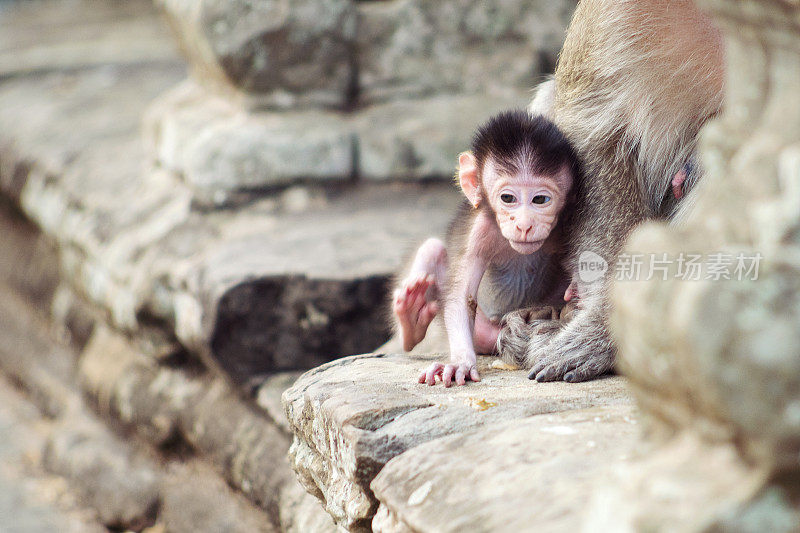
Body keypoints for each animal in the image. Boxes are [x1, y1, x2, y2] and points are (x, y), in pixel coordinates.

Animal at [396, 110, 580, 384]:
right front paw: (460, 362)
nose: (524, 225)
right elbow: (461, 297)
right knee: (432, 248)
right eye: (508, 198)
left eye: (540, 199)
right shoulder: (479, 232)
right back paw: (411, 318)